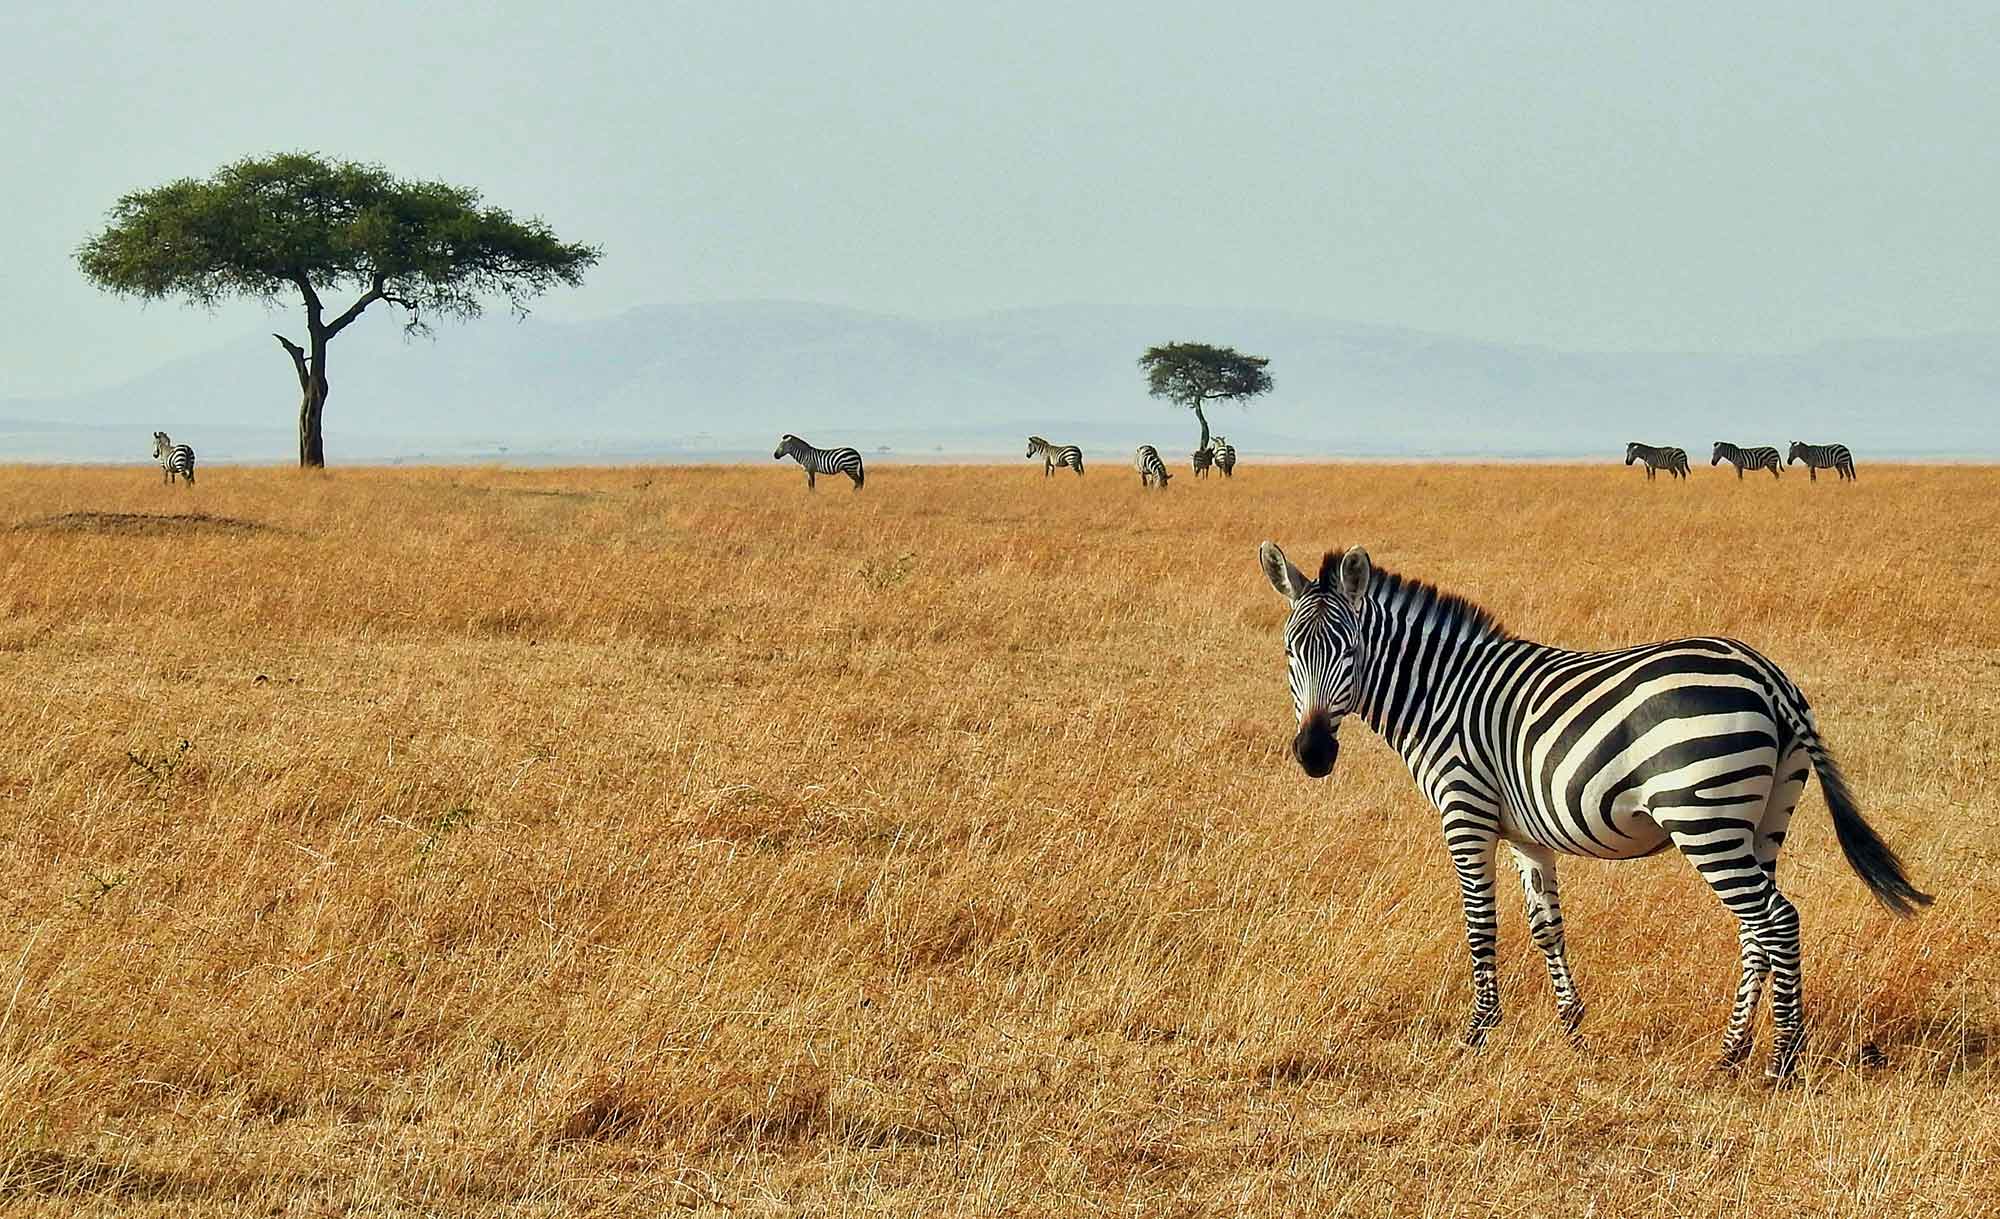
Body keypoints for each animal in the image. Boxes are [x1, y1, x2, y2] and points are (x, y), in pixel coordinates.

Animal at [1256, 547, 1928, 1079]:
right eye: (1290, 651)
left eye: (1348, 651)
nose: (1313, 754)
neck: (1440, 693)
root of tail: (1768, 676)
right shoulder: (1526, 834)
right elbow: (1546, 927)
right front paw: (1571, 1028)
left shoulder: (1466, 811)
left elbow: (1480, 925)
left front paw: (1478, 1035)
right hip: (1763, 820)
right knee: (1756, 929)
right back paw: (1732, 1051)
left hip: (1703, 815)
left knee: (1778, 921)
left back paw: (1780, 1061)